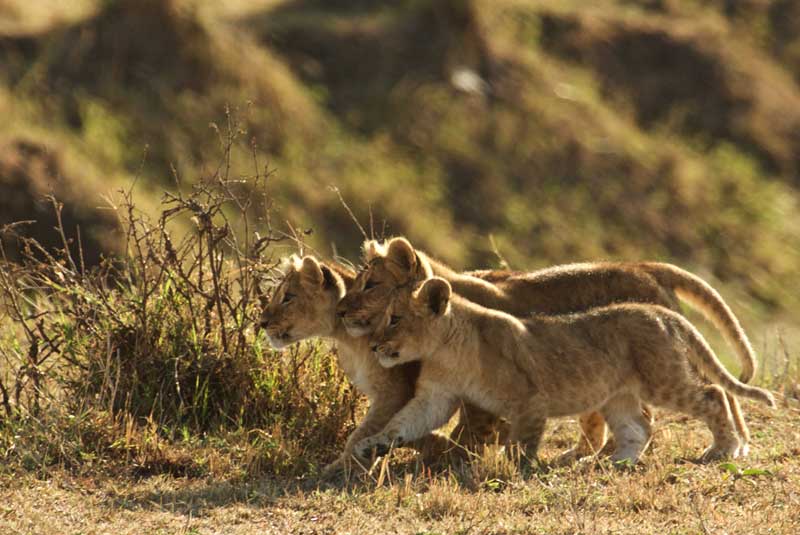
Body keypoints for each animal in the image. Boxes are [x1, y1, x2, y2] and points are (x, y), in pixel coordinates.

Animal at [336, 237, 757, 457]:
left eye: (370, 285)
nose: (339, 310)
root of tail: (646, 265)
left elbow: (476, 425)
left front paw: (461, 454)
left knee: (714, 391)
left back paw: (730, 446)